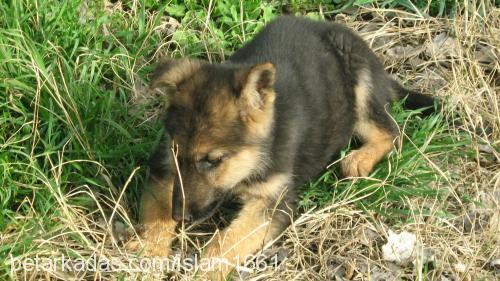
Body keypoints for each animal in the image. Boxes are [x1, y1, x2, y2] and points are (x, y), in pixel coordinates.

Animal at [129, 15, 434, 278]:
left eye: (213, 160)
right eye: (176, 153)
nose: (180, 216)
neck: (255, 156)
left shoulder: (273, 203)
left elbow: (226, 242)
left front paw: (204, 272)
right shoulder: (164, 168)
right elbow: (156, 215)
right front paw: (149, 253)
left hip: (361, 83)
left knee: (391, 131)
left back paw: (358, 159)